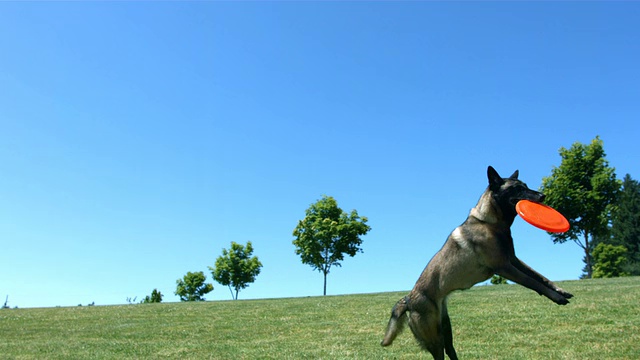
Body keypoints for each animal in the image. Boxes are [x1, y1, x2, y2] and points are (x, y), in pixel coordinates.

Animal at [380, 166, 576, 360]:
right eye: (517, 188)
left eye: (526, 186)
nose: (543, 196)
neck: (489, 222)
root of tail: (408, 300)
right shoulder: (504, 266)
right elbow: (533, 282)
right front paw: (557, 297)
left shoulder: (513, 260)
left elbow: (539, 276)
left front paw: (560, 291)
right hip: (434, 338)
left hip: (446, 330)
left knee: (451, 350)